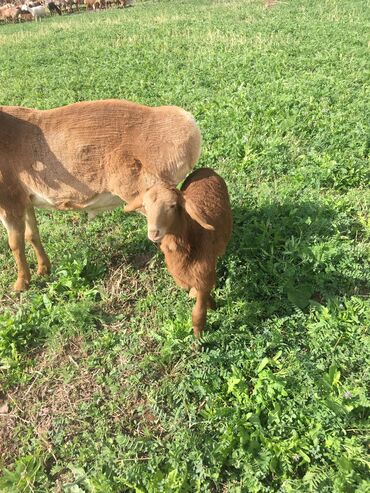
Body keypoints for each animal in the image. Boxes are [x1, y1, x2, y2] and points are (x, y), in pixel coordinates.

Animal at [125, 168, 233, 338]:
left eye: (173, 205)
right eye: (145, 206)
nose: (154, 232)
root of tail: (206, 169)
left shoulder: (203, 275)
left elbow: (198, 314)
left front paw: (198, 341)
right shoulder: (185, 277)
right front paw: (212, 304)